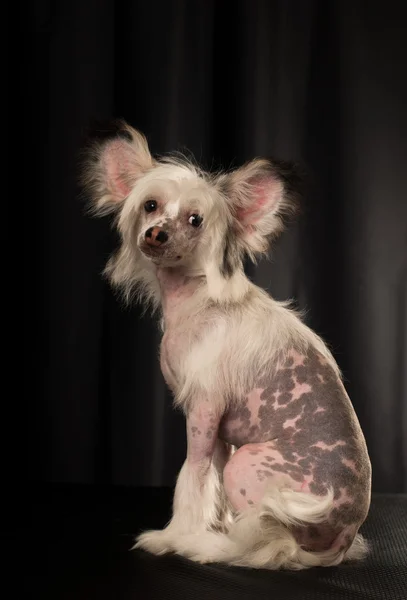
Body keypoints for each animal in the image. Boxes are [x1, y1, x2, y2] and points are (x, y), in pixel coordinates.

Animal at [82, 119, 372, 568]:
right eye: (150, 206)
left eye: (196, 219)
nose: (157, 234)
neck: (197, 299)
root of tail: (341, 542)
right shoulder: (220, 430)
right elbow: (209, 483)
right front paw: (206, 527)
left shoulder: (202, 411)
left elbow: (192, 475)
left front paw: (176, 537)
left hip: (250, 465)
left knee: (261, 540)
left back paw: (209, 548)